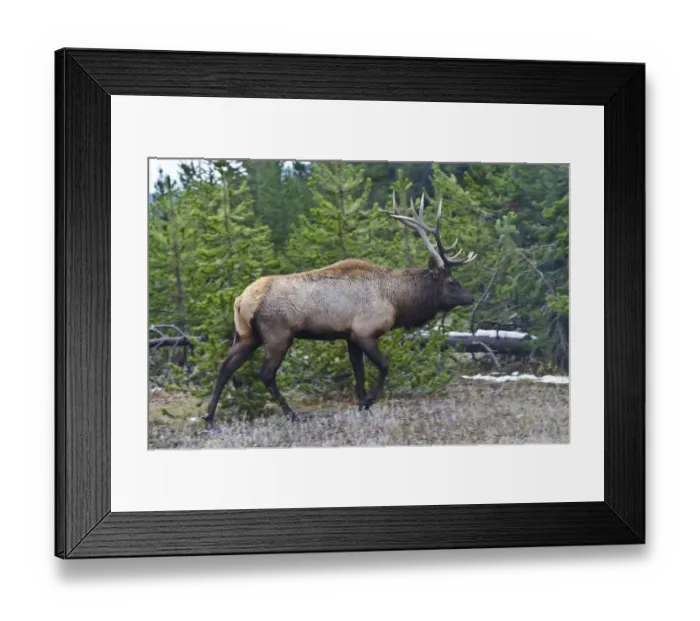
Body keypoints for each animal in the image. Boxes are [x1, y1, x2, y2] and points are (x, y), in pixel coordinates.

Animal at [204, 192, 478, 428]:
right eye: (451, 281)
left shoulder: (349, 336)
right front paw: (368, 402)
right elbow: (384, 366)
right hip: (277, 334)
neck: (397, 301)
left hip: (246, 335)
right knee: (266, 374)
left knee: (225, 368)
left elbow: (358, 372)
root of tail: (241, 300)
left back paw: (209, 419)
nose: (471, 297)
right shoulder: (364, 332)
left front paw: (362, 403)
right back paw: (292, 414)